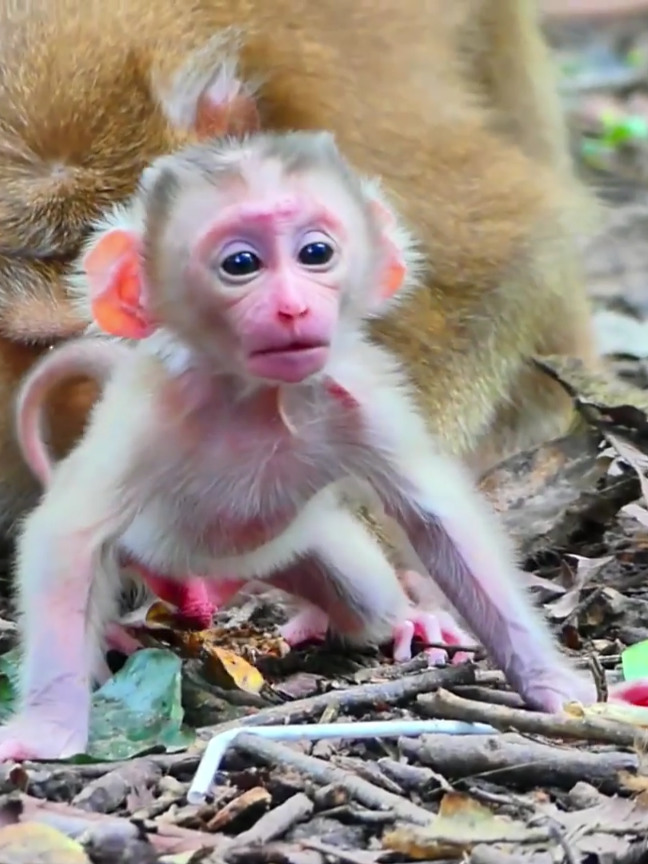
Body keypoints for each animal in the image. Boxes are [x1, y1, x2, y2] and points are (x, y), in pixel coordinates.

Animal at [0, 130, 599, 761]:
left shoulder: (365, 400)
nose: (293, 306)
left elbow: (436, 520)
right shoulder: (145, 418)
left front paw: (553, 684)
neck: (258, 399)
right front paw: (47, 728)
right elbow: (68, 536)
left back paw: (378, 619)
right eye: (241, 263)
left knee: (360, 594)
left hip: (300, 545)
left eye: (316, 253)